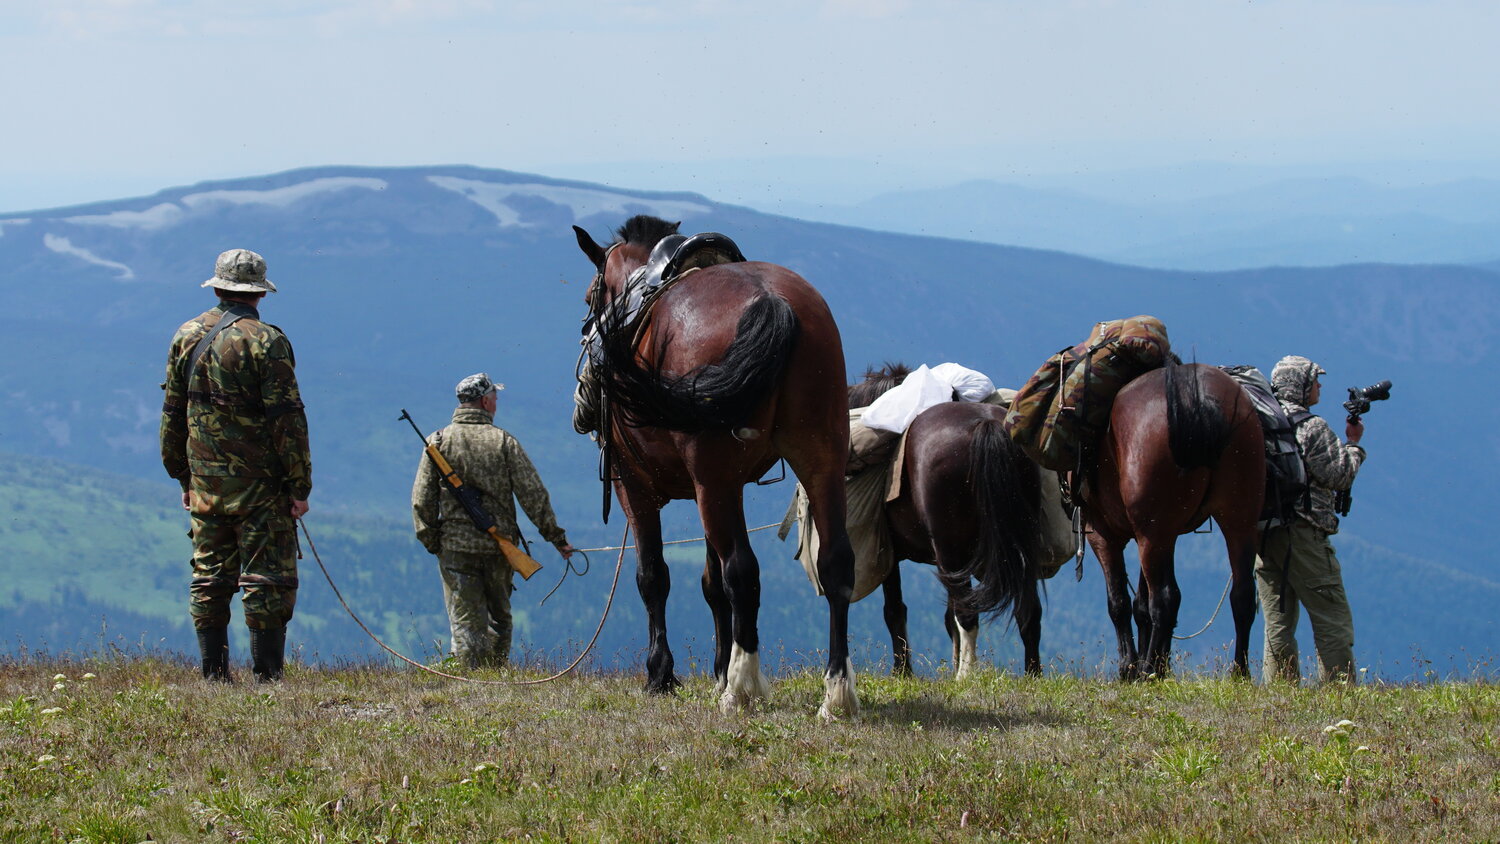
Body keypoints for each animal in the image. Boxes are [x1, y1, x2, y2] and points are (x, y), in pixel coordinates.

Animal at [572, 215, 859, 718]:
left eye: (591, 296)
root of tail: (773, 303)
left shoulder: (636, 486)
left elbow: (654, 576)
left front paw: (662, 674)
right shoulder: (716, 487)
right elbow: (709, 583)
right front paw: (717, 668)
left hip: (714, 479)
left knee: (742, 571)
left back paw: (741, 688)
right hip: (818, 460)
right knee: (835, 563)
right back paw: (836, 692)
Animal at [847, 364, 1065, 678]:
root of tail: (986, 425)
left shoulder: (891, 551)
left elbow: (895, 610)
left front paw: (903, 671)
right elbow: (947, 618)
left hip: (950, 547)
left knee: (968, 611)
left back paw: (966, 676)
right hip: (1014, 543)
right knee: (1028, 610)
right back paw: (1032, 674)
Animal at [1082, 358, 1265, 680]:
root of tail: (1200, 399)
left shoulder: (1102, 533)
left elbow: (1119, 602)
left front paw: (1130, 667)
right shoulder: (1158, 534)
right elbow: (1141, 604)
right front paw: (1155, 661)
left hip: (1153, 535)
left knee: (1164, 599)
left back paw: (1148, 672)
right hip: (1237, 521)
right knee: (1241, 595)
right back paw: (1238, 672)